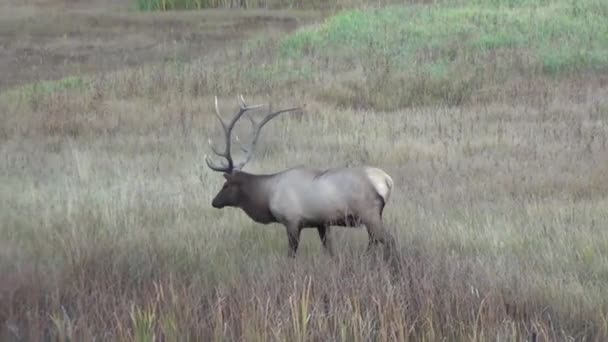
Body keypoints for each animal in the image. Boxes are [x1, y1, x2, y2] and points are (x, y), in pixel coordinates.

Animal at [207, 94, 396, 260]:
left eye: (226, 185)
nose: (214, 202)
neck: (267, 197)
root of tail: (387, 181)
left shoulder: (292, 221)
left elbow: (291, 254)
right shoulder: (321, 223)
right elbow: (329, 250)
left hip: (369, 214)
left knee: (389, 240)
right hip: (373, 216)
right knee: (374, 241)